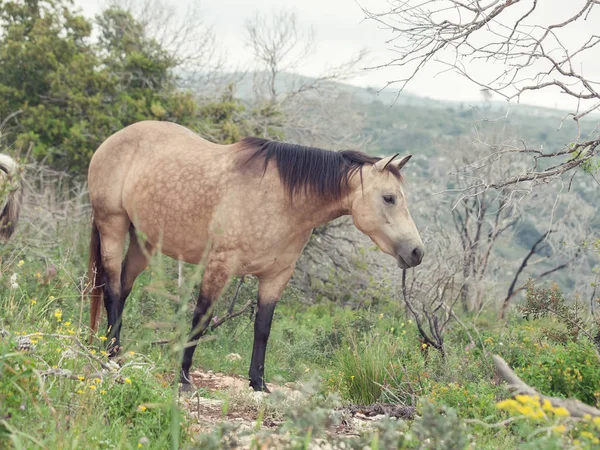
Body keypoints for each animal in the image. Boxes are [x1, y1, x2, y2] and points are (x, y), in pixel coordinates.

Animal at [86, 120, 424, 390]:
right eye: (389, 198)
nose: (417, 252)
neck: (283, 200)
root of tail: (115, 139)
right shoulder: (220, 266)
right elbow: (201, 319)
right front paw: (183, 379)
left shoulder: (275, 276)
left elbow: (263, 328)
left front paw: (259, 383)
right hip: (113, 225)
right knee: (112, 289)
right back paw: (112, 354)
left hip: (143, 240)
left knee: (124, 287)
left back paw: (115, 349)